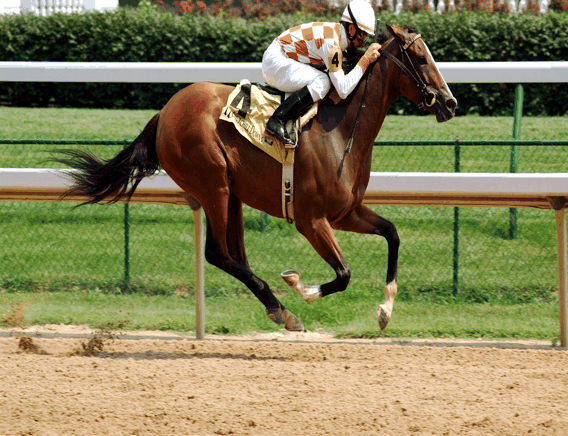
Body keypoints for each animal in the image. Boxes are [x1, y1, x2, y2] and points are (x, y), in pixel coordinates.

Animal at [57, 25, 458, 332]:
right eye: (420, 57)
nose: (450, 103)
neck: (342, 129)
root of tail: (165, 111)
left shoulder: (346, 213)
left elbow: (392, 233)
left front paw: (385, 310)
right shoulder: (312, 220)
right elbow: (344, 273)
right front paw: (300, 285)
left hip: (232, 193)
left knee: (236, 256)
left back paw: (277, 308)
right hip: (213, 184)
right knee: (218, 253)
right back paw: (283, 308)